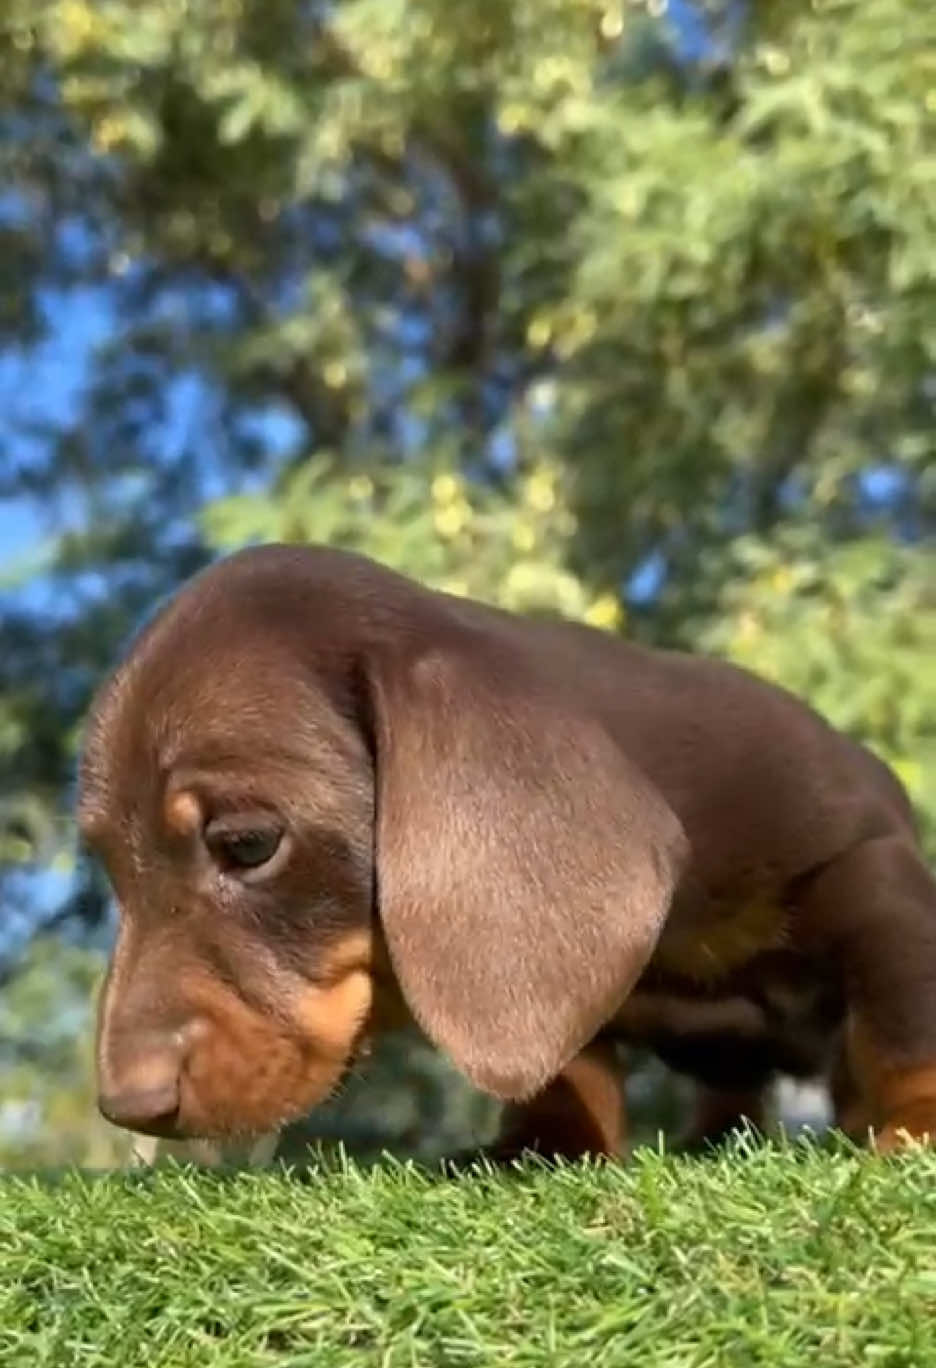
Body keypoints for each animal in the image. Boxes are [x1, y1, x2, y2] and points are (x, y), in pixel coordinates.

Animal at [78, 538, 936, 1160]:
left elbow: (901, 1029)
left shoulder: (872, 875)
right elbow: (572, 1064)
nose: (127, 1108)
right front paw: (543, 1142)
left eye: (248, 844)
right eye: (110, 867)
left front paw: (917, 1123)